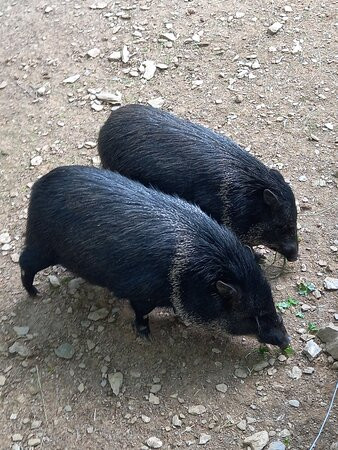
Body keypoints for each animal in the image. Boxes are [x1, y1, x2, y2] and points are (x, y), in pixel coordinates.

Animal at [19, 165, 290, 348]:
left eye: (270, 302)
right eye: (251, 315)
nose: (287, 342)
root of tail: (37, 187)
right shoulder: (141, 294)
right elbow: (141, 314)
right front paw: (145, 335)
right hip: (42, 246)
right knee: (24, 263)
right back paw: (34, 293)